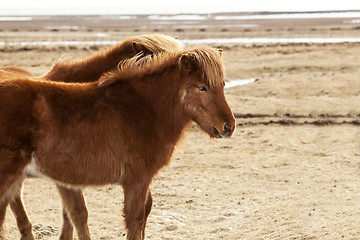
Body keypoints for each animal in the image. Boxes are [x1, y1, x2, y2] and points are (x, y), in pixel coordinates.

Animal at [0, 47, 235, 240]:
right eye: (202, 87)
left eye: (223, 84)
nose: (228, 126)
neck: (144, 108)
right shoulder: (137, 180)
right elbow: (135, 221)